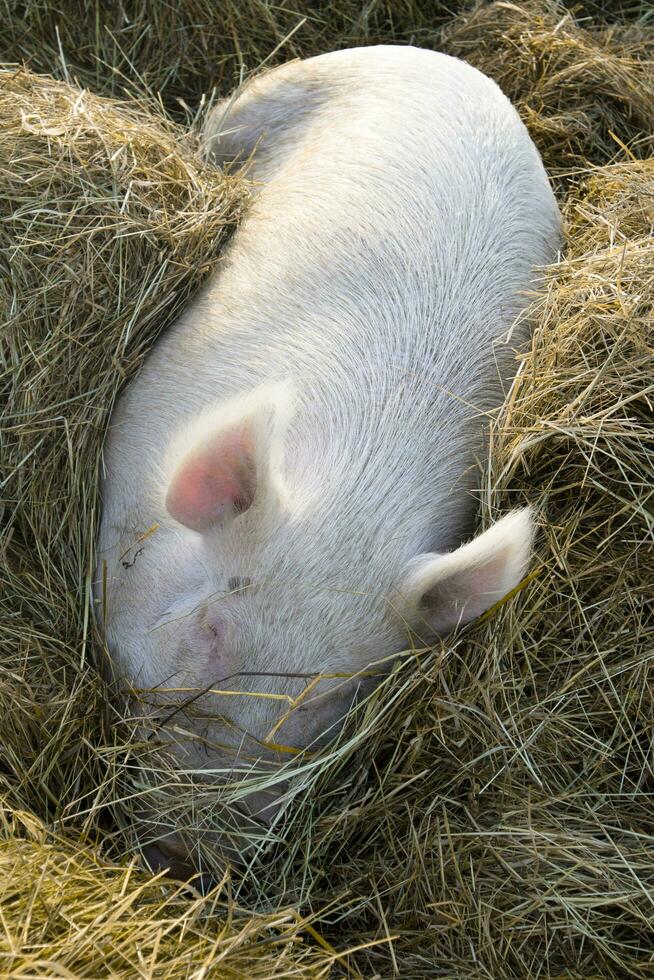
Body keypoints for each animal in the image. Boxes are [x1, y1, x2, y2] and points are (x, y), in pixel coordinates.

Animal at [93, 44, 564, 872]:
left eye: (331, 698)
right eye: (208, 627)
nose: (184, 852)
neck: (354, 503)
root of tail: (451, 62)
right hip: (257, 103)